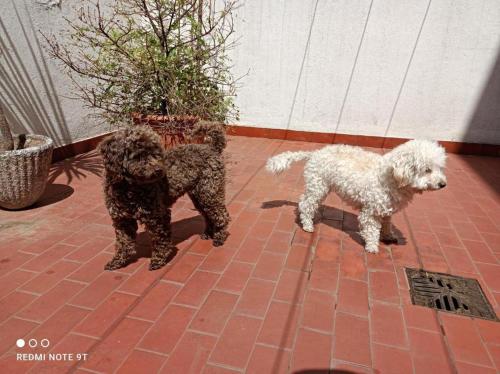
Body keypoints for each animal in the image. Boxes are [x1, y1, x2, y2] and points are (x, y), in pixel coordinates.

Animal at [98, 124, 230, 270]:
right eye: (138, 155)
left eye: (155, 152)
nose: (159, 170)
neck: (128, 189)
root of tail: (211, 147)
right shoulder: (122, 220)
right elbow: (123, 243)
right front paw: (117, 261)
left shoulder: (159, 216)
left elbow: (160, 240)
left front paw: (158, 260)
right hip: (199, 197)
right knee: (208, 216)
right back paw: (208, 233)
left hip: (209, 193)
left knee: (222, 215)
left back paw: (219, 237)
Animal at [268, 140, 448, 254]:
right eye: (427, 170)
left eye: (439, 168)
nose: (443, 184)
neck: (392, 177)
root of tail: (315, 153)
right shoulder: (370, 212)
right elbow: (372, 230)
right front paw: (372, 246)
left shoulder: (386, 208)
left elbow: (387, 224)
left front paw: (388, 236)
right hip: (318, 186)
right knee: (306, 204)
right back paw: (307, 224)